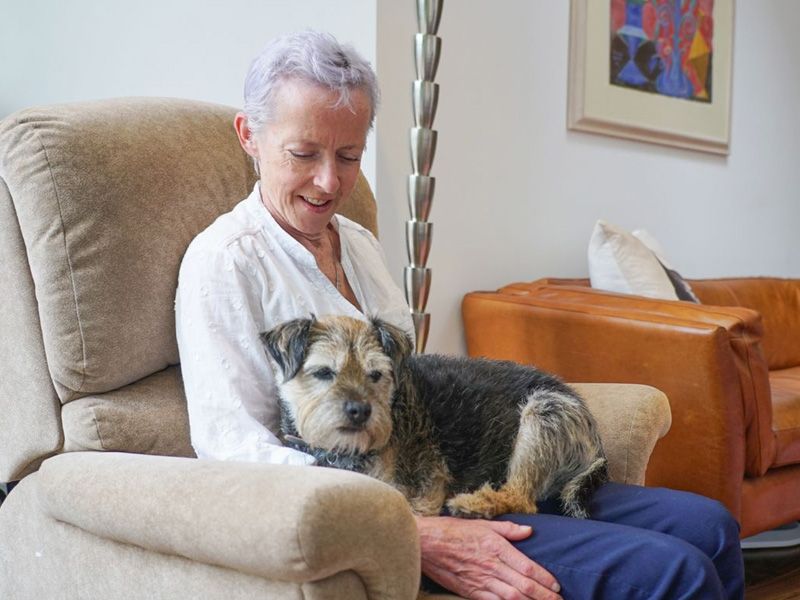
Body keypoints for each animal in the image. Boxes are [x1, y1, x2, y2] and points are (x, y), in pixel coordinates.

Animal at [260, 316, 608, 516]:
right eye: (323, 372)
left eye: (376, 375)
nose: (360, 411)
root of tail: (596, 442)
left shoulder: (426, 489)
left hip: (545, 410)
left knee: (521, 498)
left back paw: (474, 503)